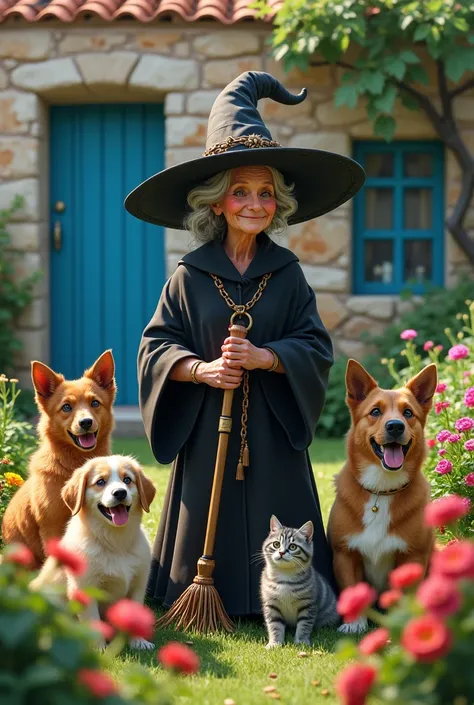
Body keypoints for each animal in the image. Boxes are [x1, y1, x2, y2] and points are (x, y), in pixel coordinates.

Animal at [32, 456, 157, 648]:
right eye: (100, 482)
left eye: (127, 480)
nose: (120, 493)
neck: (116, 542)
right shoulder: (85, 588)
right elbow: (93, 621)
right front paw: (98, 647)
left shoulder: (139, 584)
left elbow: (136, 615)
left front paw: (138, 641)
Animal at [262, 516, 338, 648]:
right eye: (276, 544)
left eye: (293, 547)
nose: (281, 552)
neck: (284, 576)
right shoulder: (271, 605)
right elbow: (274, 625)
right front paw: (275, 643)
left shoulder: (308, 605)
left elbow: (304, 625)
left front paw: (301, 641)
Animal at [330, 360, 436, 628]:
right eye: (375, 412)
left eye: (408, 413)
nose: (395, 426)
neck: (382, 490)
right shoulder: (344, 554)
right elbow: (351, 588)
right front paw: (354, 624)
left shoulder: (413, 556)